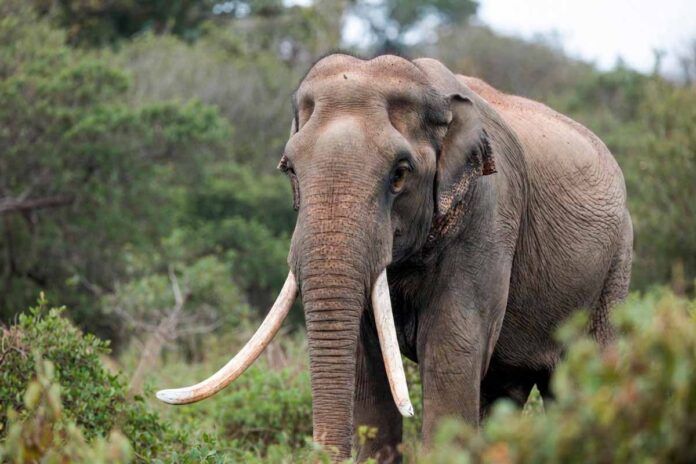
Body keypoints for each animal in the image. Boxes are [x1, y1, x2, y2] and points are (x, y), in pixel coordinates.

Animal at [157, 54, 633, 462]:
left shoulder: (489, 214)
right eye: (289, 169)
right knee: (505, 388)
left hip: (615, 268)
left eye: (400, 174)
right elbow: (367, 366)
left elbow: (452, 348)